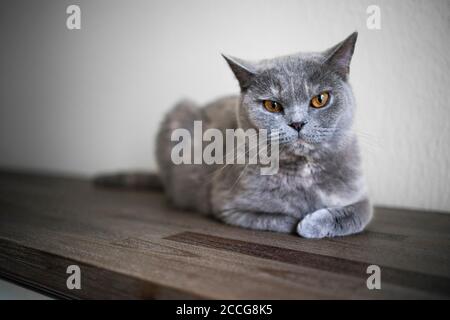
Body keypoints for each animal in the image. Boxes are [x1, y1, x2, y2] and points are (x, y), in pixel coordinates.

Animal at [96, 31, 372, 238]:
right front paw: (304, 221)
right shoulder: (227, 205)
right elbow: (282, 218)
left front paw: (315, 221)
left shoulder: (361, 194)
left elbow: (360, 212)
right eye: (272, 105)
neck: (303, 171)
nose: (297, 123)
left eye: (320, 99)